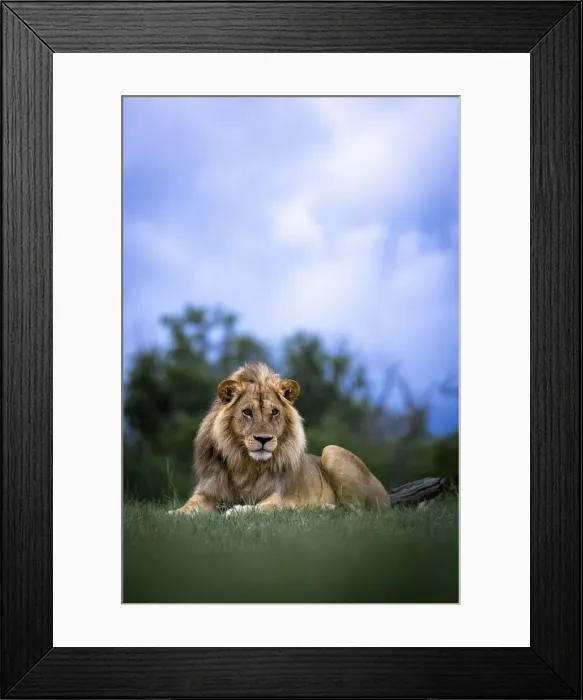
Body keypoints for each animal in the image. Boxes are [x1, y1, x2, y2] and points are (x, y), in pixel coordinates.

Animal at [171, 362, 390, 516]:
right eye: (247, 412)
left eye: (275, 412)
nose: (263, 439)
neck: (244, 465)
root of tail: (387, 497)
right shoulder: (208, 491)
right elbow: (187, 506)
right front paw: (173, 514)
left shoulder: (275, 495)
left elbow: (262, 508)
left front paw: (236, 510)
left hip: (331, 450)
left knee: (352, 512)